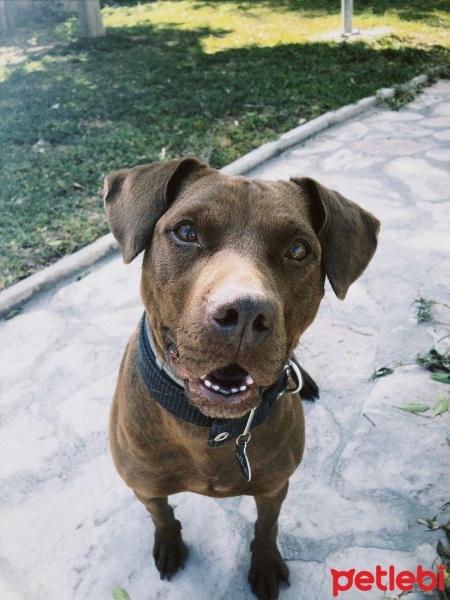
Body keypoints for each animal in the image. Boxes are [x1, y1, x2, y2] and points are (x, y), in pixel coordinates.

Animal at [103, 158, 380, 600]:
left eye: (298, 250)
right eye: (186, 232)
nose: (246, 313)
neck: (212, 428)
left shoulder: (274, 486)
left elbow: (267, 527)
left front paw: (264, 564)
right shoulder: (145, 486)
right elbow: (161, 515)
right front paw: (169, 542)